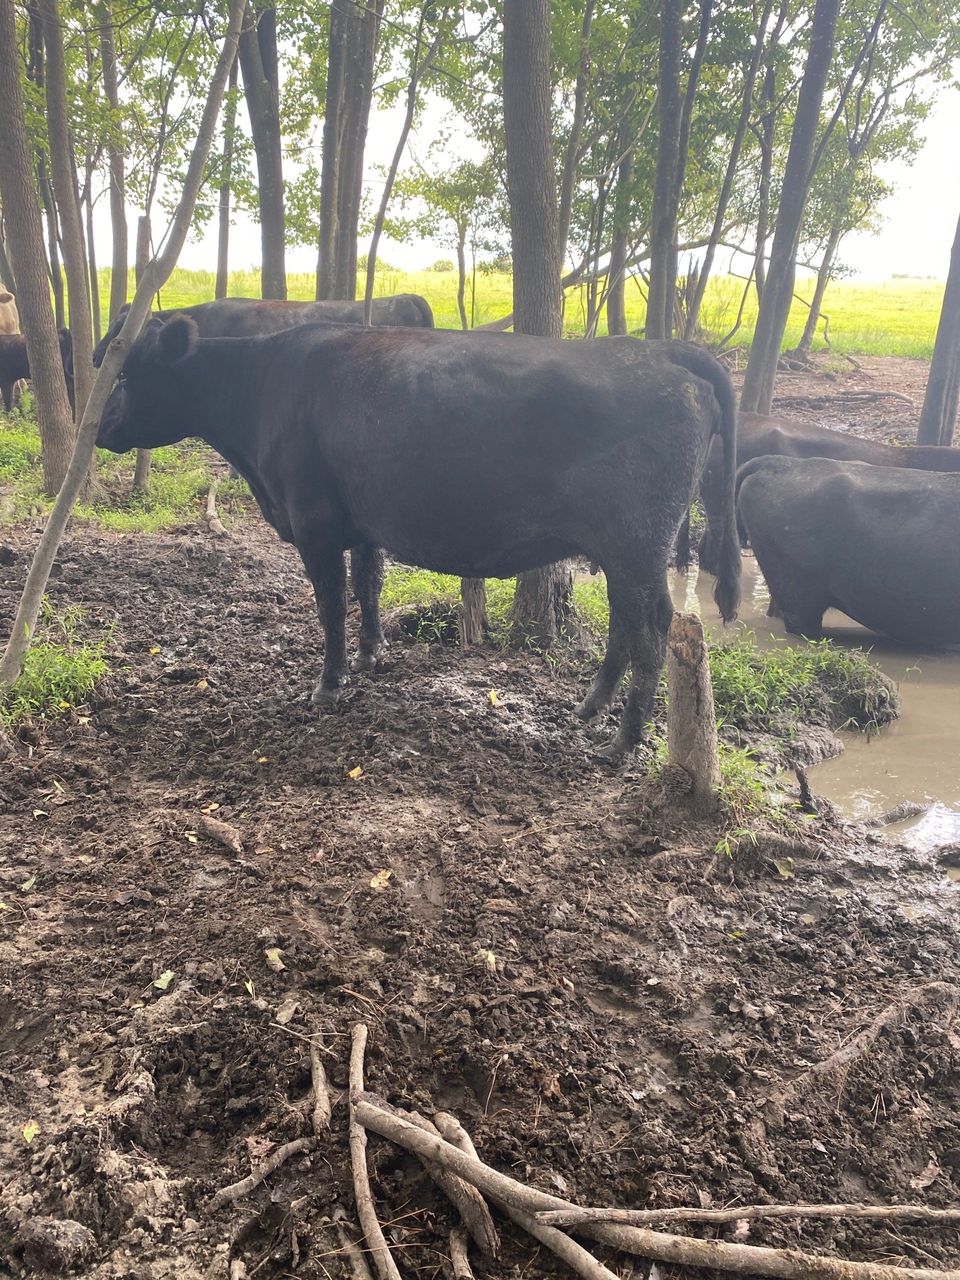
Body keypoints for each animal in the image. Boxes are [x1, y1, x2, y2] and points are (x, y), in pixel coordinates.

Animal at [96, 318, 741, 758]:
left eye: (125, 374)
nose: (98, 429)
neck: (263, 388)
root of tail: (661, 349)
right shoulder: (361, 521)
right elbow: (369, 585)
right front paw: (371, 654)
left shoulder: (314, 522)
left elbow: (331, 604)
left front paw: (328, 684)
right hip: (622, 550)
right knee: (625, 621)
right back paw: (590, 707)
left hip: (638, 543)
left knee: (651, 625)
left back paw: (623, 742)